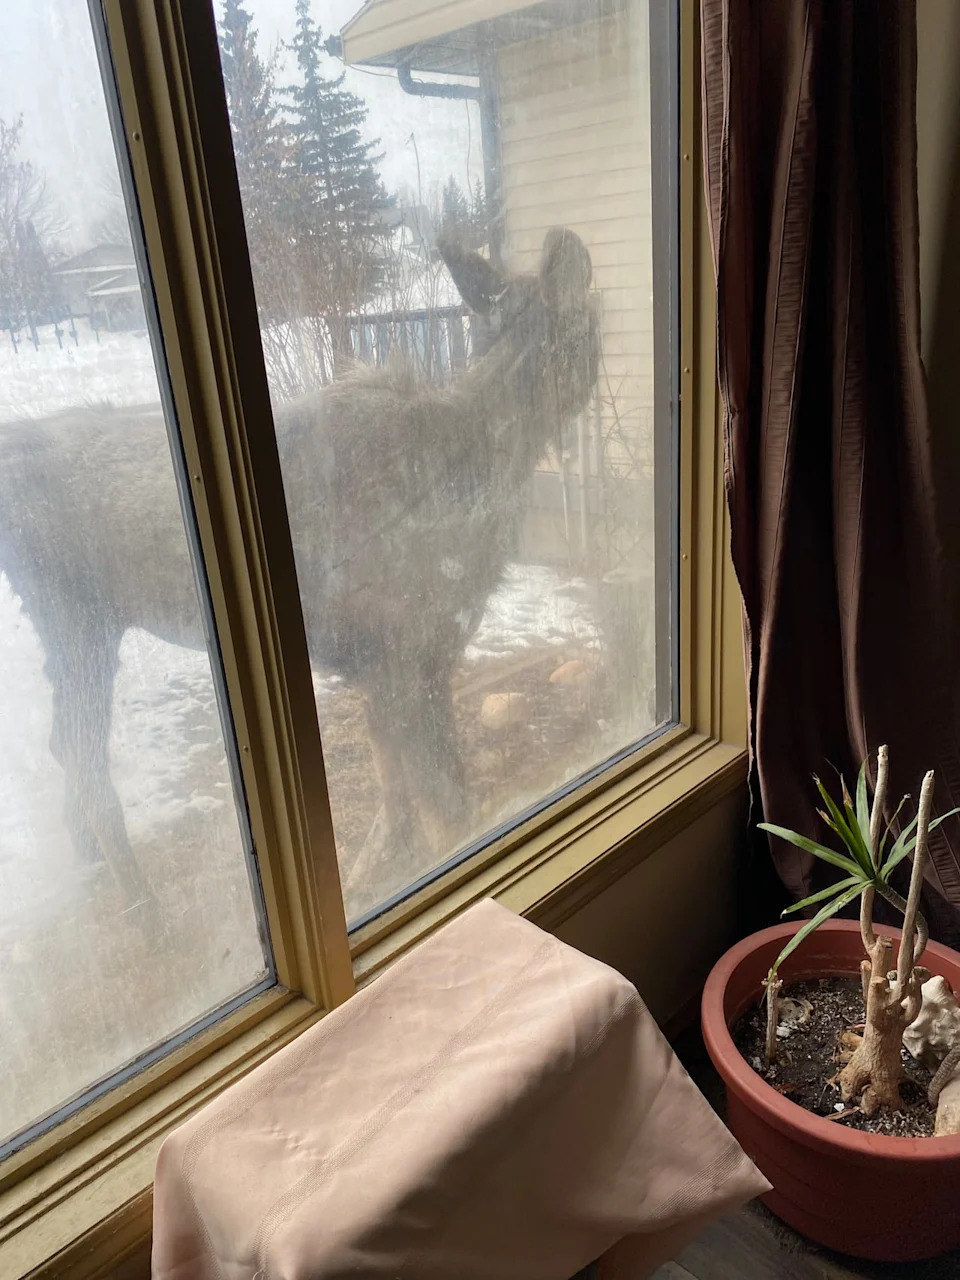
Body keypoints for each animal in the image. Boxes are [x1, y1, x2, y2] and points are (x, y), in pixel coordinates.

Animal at [0, 227, 598, 914]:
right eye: (591, 321)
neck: (487, 471)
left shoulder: (404, 662)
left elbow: (397, 797)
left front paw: (369, 875)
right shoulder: (404, 656)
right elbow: (448, 810)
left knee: (67, 751)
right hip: (79, 619)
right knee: (82, 758)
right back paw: (149, 913)